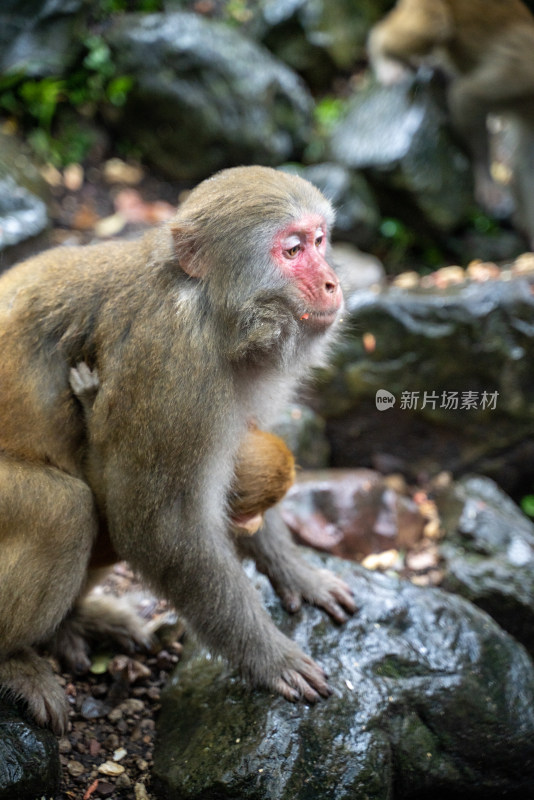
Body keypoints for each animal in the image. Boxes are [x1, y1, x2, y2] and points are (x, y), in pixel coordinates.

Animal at [1, 166, 360, 736]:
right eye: (293, 249)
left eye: (321, 241)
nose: (332, 282)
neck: (210, 310)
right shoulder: (174, 374)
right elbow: (162, 530)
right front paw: (267, 657)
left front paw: (296, 572)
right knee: (65, 510)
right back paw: (14, 659)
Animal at [368, 0, 534, 247]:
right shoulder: (519, 75)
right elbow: (466, 97)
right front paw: (486, 181)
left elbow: (526, 163)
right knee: (435, 27)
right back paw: (384, 54)